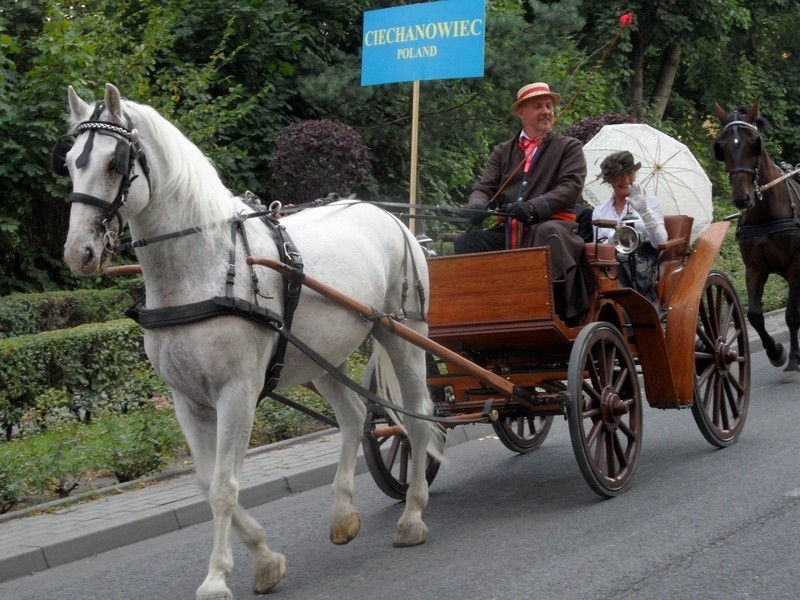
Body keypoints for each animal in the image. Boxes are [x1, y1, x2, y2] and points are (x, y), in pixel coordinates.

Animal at [60, 85, 444, 600]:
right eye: (69, 163)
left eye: (114, 163)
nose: (78, 253)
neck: (204, 268)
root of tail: (387, 215)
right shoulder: (187, 400)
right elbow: (207, 485)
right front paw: (265, 559)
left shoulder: (236, 393)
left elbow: (225, 485)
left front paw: (217, 578)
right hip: (321, 359)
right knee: (355, 415)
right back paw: (343, 514)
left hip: (404, 334)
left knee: (416, 418)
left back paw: (412, 516)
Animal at [712, 99, 800, 380]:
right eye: (722, 147)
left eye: (755, 143)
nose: (742, 198)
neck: (766, 213)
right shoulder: (754, 268)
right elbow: (754, 315)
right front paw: (776, 352)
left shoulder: (795, 266)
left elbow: (792, 315)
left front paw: (793, 359)